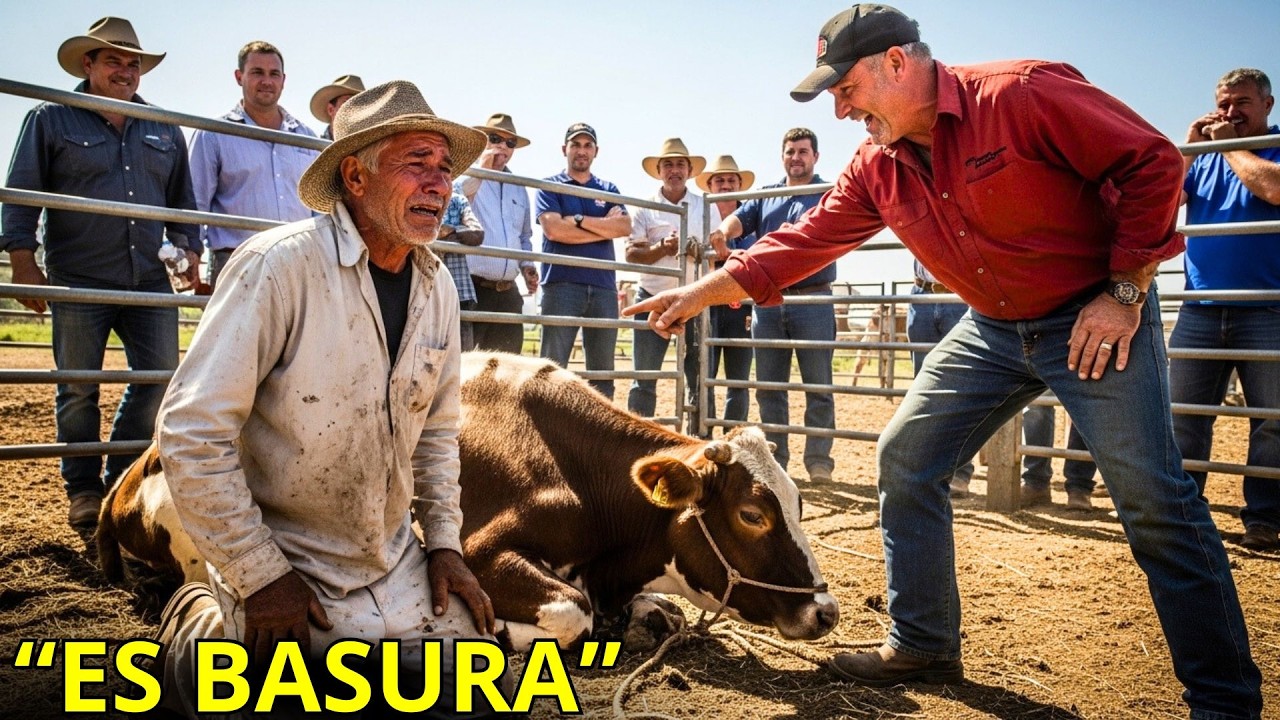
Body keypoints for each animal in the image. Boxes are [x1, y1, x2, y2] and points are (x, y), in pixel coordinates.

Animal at [96, 351, 840, 651]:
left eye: (799, 506)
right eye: (752, 513)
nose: (827, 612)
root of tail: (135, 466)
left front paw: (645, 612)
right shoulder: (480, 553)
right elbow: (569, 612)